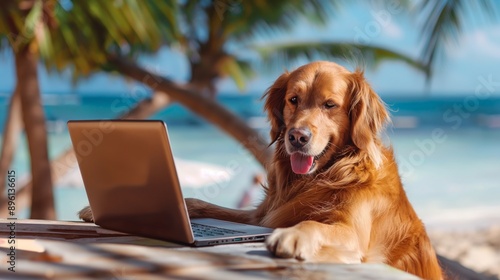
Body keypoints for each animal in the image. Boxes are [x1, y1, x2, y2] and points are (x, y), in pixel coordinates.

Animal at [80, 61, 444, 280]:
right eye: (294, 100)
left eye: (330, 105)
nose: (297, 137)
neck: (324, 176)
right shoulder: (261, 216)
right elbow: (202, 204)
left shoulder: (354, 234)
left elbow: (315, 224)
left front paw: (293, 235)